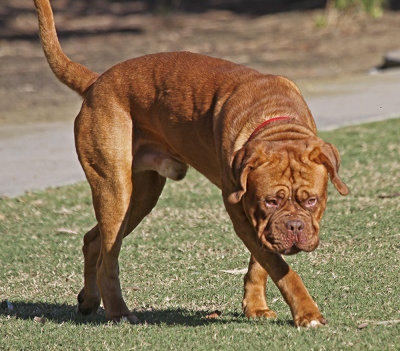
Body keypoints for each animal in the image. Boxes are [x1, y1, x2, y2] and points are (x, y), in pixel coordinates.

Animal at [33, 0, 346, 330]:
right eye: (271, 201)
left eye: (312, 201)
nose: (295, 226)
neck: (273, 118)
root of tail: (96, 81)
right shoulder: (242, 213)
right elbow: (278, 266)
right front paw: (307, 313)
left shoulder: (258, 223)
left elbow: (261, 262)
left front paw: (256, 306)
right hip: (115, 191)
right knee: (109, 257)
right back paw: (118, 311)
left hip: (142, 196)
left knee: (93, 240)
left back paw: (90, 300)